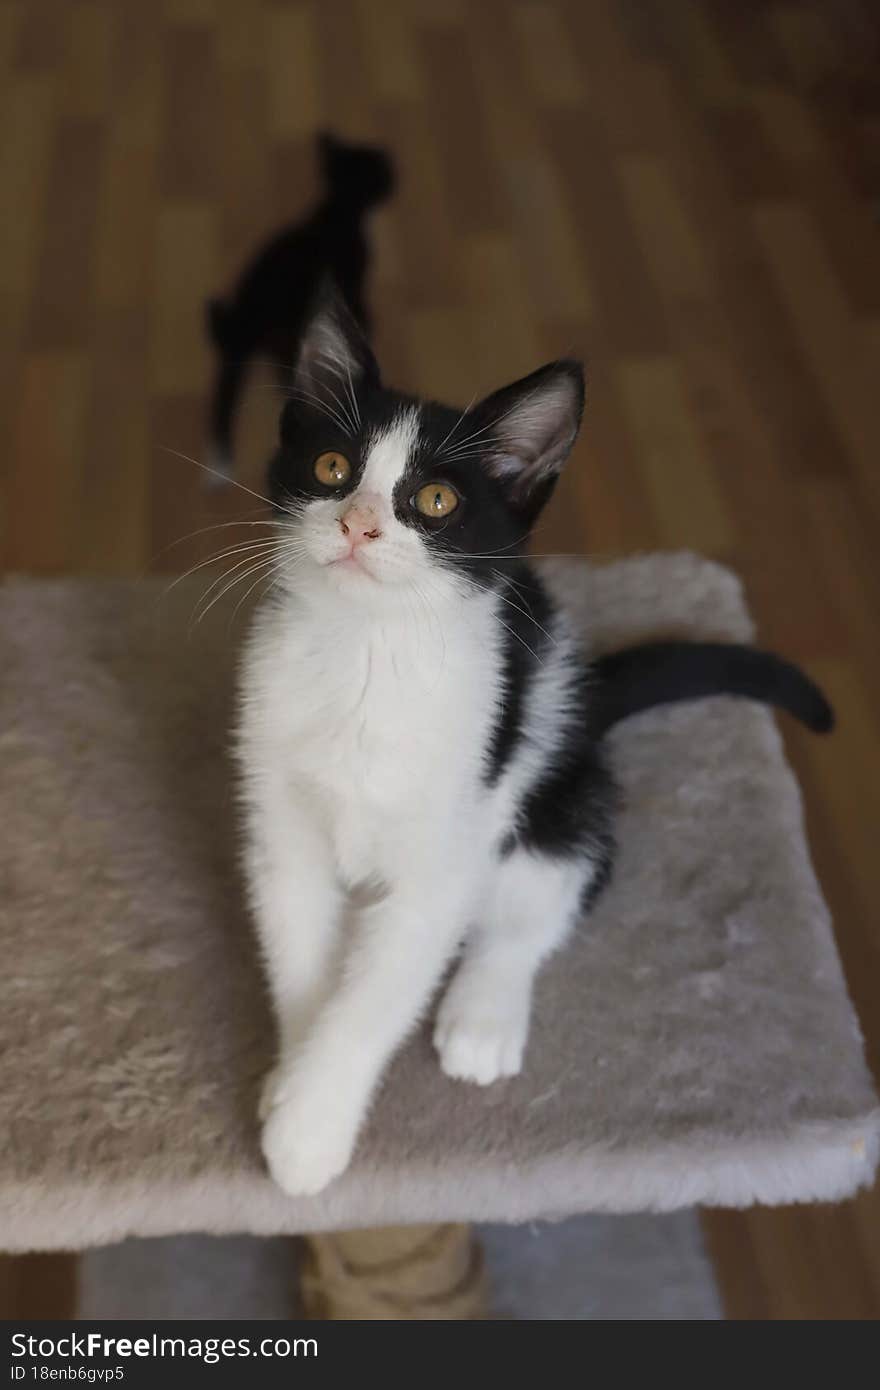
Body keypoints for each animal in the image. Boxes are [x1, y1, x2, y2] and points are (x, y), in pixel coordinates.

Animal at [239, 290, 828, 1195]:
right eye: (333, 469)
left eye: (436, 502)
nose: (360, 524)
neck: (367, 652)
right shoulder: (282, 821)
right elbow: (304, 958)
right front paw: (288, 1081)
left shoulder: (444, 853)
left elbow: (377, 990)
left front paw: (310, 1132)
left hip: (555, 784)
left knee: (550, 891)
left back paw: (484, 1014)